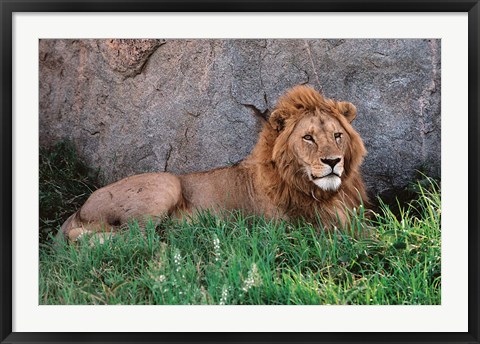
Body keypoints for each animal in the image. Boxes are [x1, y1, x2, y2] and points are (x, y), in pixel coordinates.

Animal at [60, 85, 368, 241]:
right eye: (308, 138)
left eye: (338, 135)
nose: (333, 161)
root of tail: (80, 209)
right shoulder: (299, 229)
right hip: (165, 184)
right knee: (131, 239)